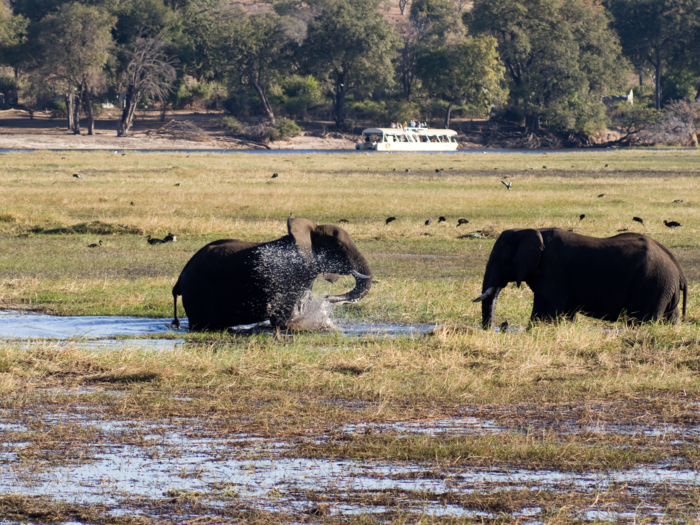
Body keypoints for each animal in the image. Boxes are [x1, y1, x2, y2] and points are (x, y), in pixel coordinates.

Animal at [172, 215, 372, 330]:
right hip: (199, 290)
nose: (328, 297)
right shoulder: (288, 273)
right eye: (339, 246)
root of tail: (180, 279)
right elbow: (283, 318)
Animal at [474, 229, 688, 328]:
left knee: (641, 320)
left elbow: (545, 311)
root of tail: (678, 268)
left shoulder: (553, 271)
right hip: (664, 287)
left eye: (498, 259)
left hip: (653, 283)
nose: (503, 325)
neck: (528, 230)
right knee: (670, 317)